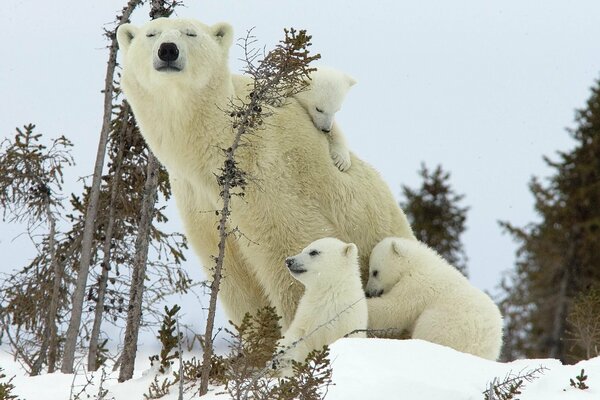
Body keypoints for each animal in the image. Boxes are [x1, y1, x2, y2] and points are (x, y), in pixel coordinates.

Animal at [116, 18, 414, 330]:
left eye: (191, 33)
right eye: (151, 34)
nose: (168, 50)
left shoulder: (269, 177)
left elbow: (292, 254)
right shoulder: (198, 199)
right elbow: (235, 280)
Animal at [276, 238, 366, 372]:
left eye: (313, 252)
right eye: (303, 249)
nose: (289, 261)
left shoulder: (347, 320)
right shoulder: (307, 314)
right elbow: (298, 335)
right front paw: (282, 356)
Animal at [366, 236, 502, 360]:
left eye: (375, 272)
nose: (368, 292)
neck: (417, 264)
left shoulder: (416, 286)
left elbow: (394, 309)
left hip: (445, 326)